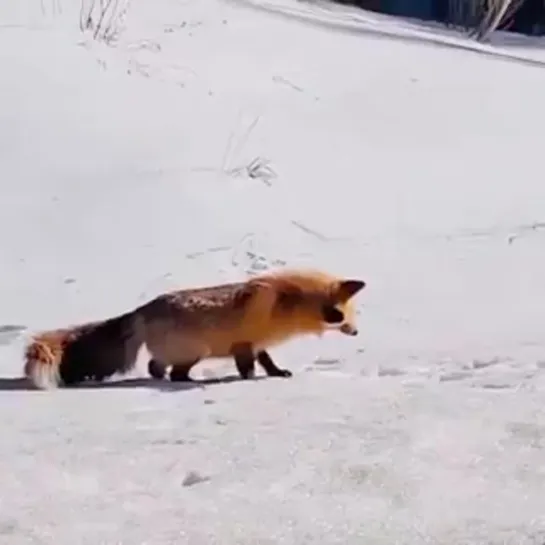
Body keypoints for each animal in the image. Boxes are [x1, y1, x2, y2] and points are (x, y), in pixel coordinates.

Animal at [24, 266, 366, 386]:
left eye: (353, 315)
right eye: (340, 315)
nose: (355, 332)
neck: (286, 304)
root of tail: (142, 310)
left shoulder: (257, 344)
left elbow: (268, 363)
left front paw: (277, 374)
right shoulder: (244, 344)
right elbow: (247, 368)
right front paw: (249, 381)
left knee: (155, 367)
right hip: (194, 351)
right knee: (170, 372)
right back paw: (184, 381)